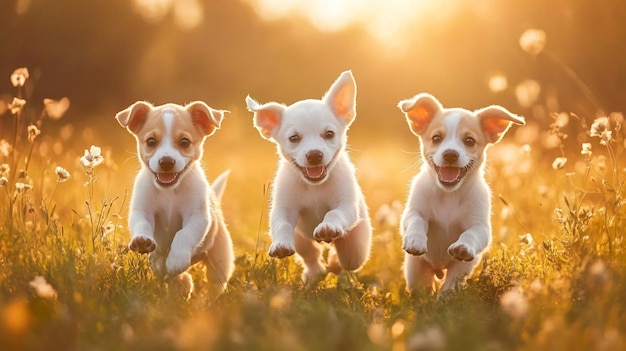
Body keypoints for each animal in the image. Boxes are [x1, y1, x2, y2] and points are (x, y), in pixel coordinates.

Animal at [115, 100, 234, 298]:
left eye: (184, 142)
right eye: (151, 141)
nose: (166, 162)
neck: (169, 191)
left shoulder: (197, 216)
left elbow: (184, 234)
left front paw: (177, 259)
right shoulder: (142, 211)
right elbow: (142, 224)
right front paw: (142, 240)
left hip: (219, 262)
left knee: (214, 284)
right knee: (171, 275)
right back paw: (181, 282)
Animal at [244, 71, 370, 284]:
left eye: (329, 134)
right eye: (294, 138)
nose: (314, 155)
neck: (314, 186)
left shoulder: (346, 206)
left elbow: (335, 214)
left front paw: (328, 226)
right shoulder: (284, 209)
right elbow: (281, 224)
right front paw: (280, 244)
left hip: (357, 245)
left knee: (348, 259)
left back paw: (334, 261)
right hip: (301, 239)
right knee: (311, 255)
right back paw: (313, 273)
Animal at [398, 93, 524, 294]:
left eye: (469, 141)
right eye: (436, 138)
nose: (450, 154)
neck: (449, 194)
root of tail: (439, 269)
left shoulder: (481, 226)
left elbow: (471, 234)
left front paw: (463, 246)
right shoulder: (413, 212)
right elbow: (416, 221)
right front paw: (415, 239)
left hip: (462, 268)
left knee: (450, 285)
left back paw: (445, 297)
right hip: (415, 271)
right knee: (423, 289)